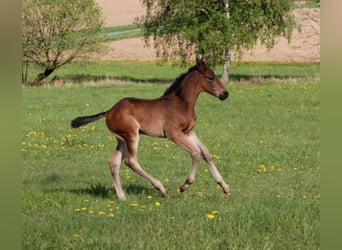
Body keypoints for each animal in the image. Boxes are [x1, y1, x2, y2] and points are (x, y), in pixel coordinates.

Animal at [72, 57, 232, 200]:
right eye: (210, 78)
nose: (225, 94)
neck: (181, 103)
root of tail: (109, 111)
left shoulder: (189, 132)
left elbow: (206, 152)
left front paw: (225, 187)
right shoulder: (174, 134)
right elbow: (196, 153)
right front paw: (185, 185)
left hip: (121, 139)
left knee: (114, 162)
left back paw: (122, 197)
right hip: (131, 135)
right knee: (131, 161)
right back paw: (162, 190)